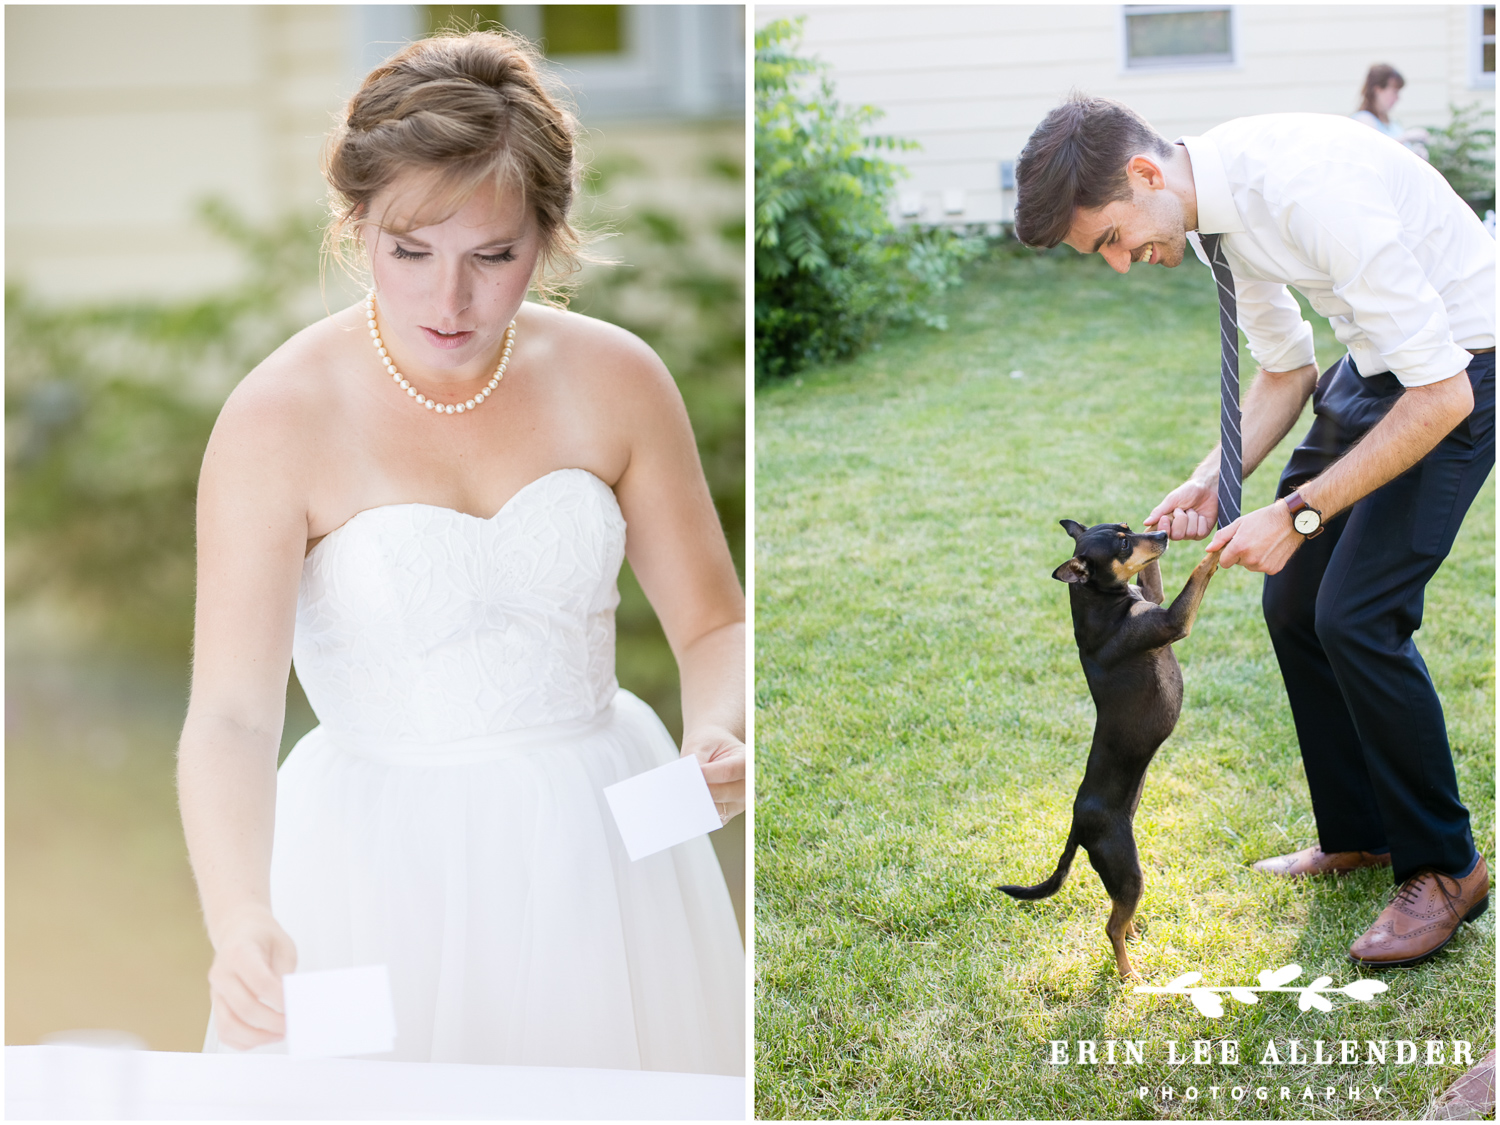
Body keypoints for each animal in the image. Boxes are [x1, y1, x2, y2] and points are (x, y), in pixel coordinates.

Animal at [996, 519, 1218, 978]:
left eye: (1128, 528)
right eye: (1122, 545)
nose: (1163, 535)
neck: (1103, 600)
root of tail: (1077, 825)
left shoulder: (1155, 599)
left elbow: (1155, 578)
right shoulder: (1173, 621)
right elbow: (1198, 575)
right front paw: (1218, 549)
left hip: (1121, 872)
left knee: (1118, 913)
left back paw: (1133, 938)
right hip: (1127, 869)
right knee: (1110, 926)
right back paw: (1129, 973)